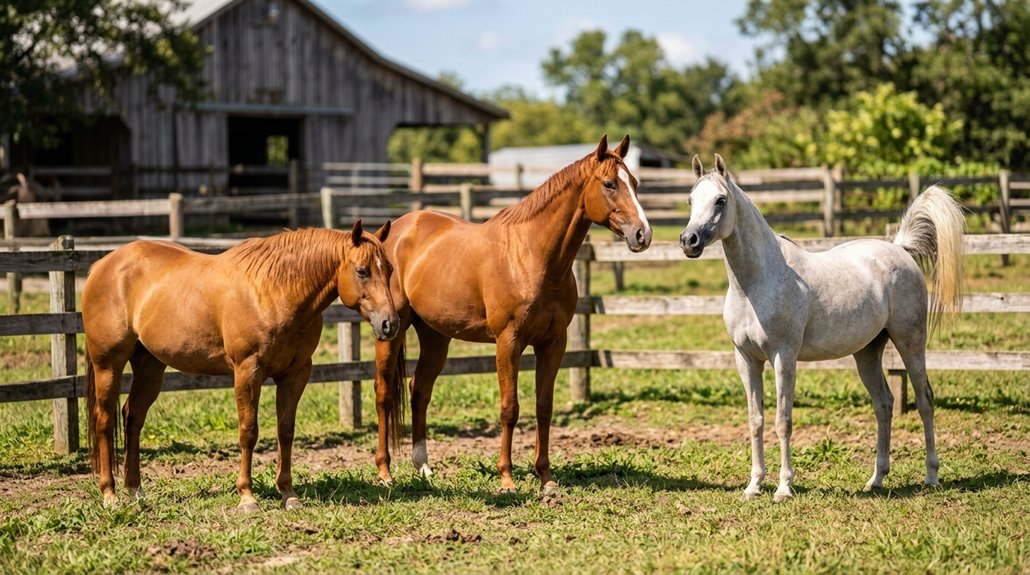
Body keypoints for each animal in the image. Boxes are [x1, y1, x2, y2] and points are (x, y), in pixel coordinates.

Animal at [82, 221, 399, 512]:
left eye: (389, 270)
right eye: (362, 271)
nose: (390, 324)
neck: (274, 292)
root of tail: (102, 265)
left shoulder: (296, 374)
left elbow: (286, 430)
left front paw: (288, 493)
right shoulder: (248, 371)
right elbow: (249, 431)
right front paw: (247, 496)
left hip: (150, 366)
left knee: (133, 418)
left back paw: (135, 491)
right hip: (108, 365)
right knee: (105, 420)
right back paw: (109, 494)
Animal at [373, 134, 652, 493]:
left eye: (634, 183)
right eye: (609, 184)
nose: (643, 234)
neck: (533, 257)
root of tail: (392, 232)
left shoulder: (553, 343)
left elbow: (544, 407)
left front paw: (546, 477)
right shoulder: (508, 342)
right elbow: (510, 408)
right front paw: (506, 478)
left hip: (436, 336)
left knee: (419, 389)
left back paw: (423, 468)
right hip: (391, 331)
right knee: (383, 395)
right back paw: (385, 472)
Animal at [680, 154, 964, 501]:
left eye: (720, 200)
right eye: (691, 200)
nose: (689, 241)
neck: (756, 282)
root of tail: (899, 249)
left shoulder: (783, 357)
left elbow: (783, 421)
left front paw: (784, 488)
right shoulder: (746, 359)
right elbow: (756, 420)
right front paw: (754, 486)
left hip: (910, 342)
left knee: (924, 400)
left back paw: (931, 476)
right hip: (867, 352)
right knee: (883, 404)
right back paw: (876, 479)